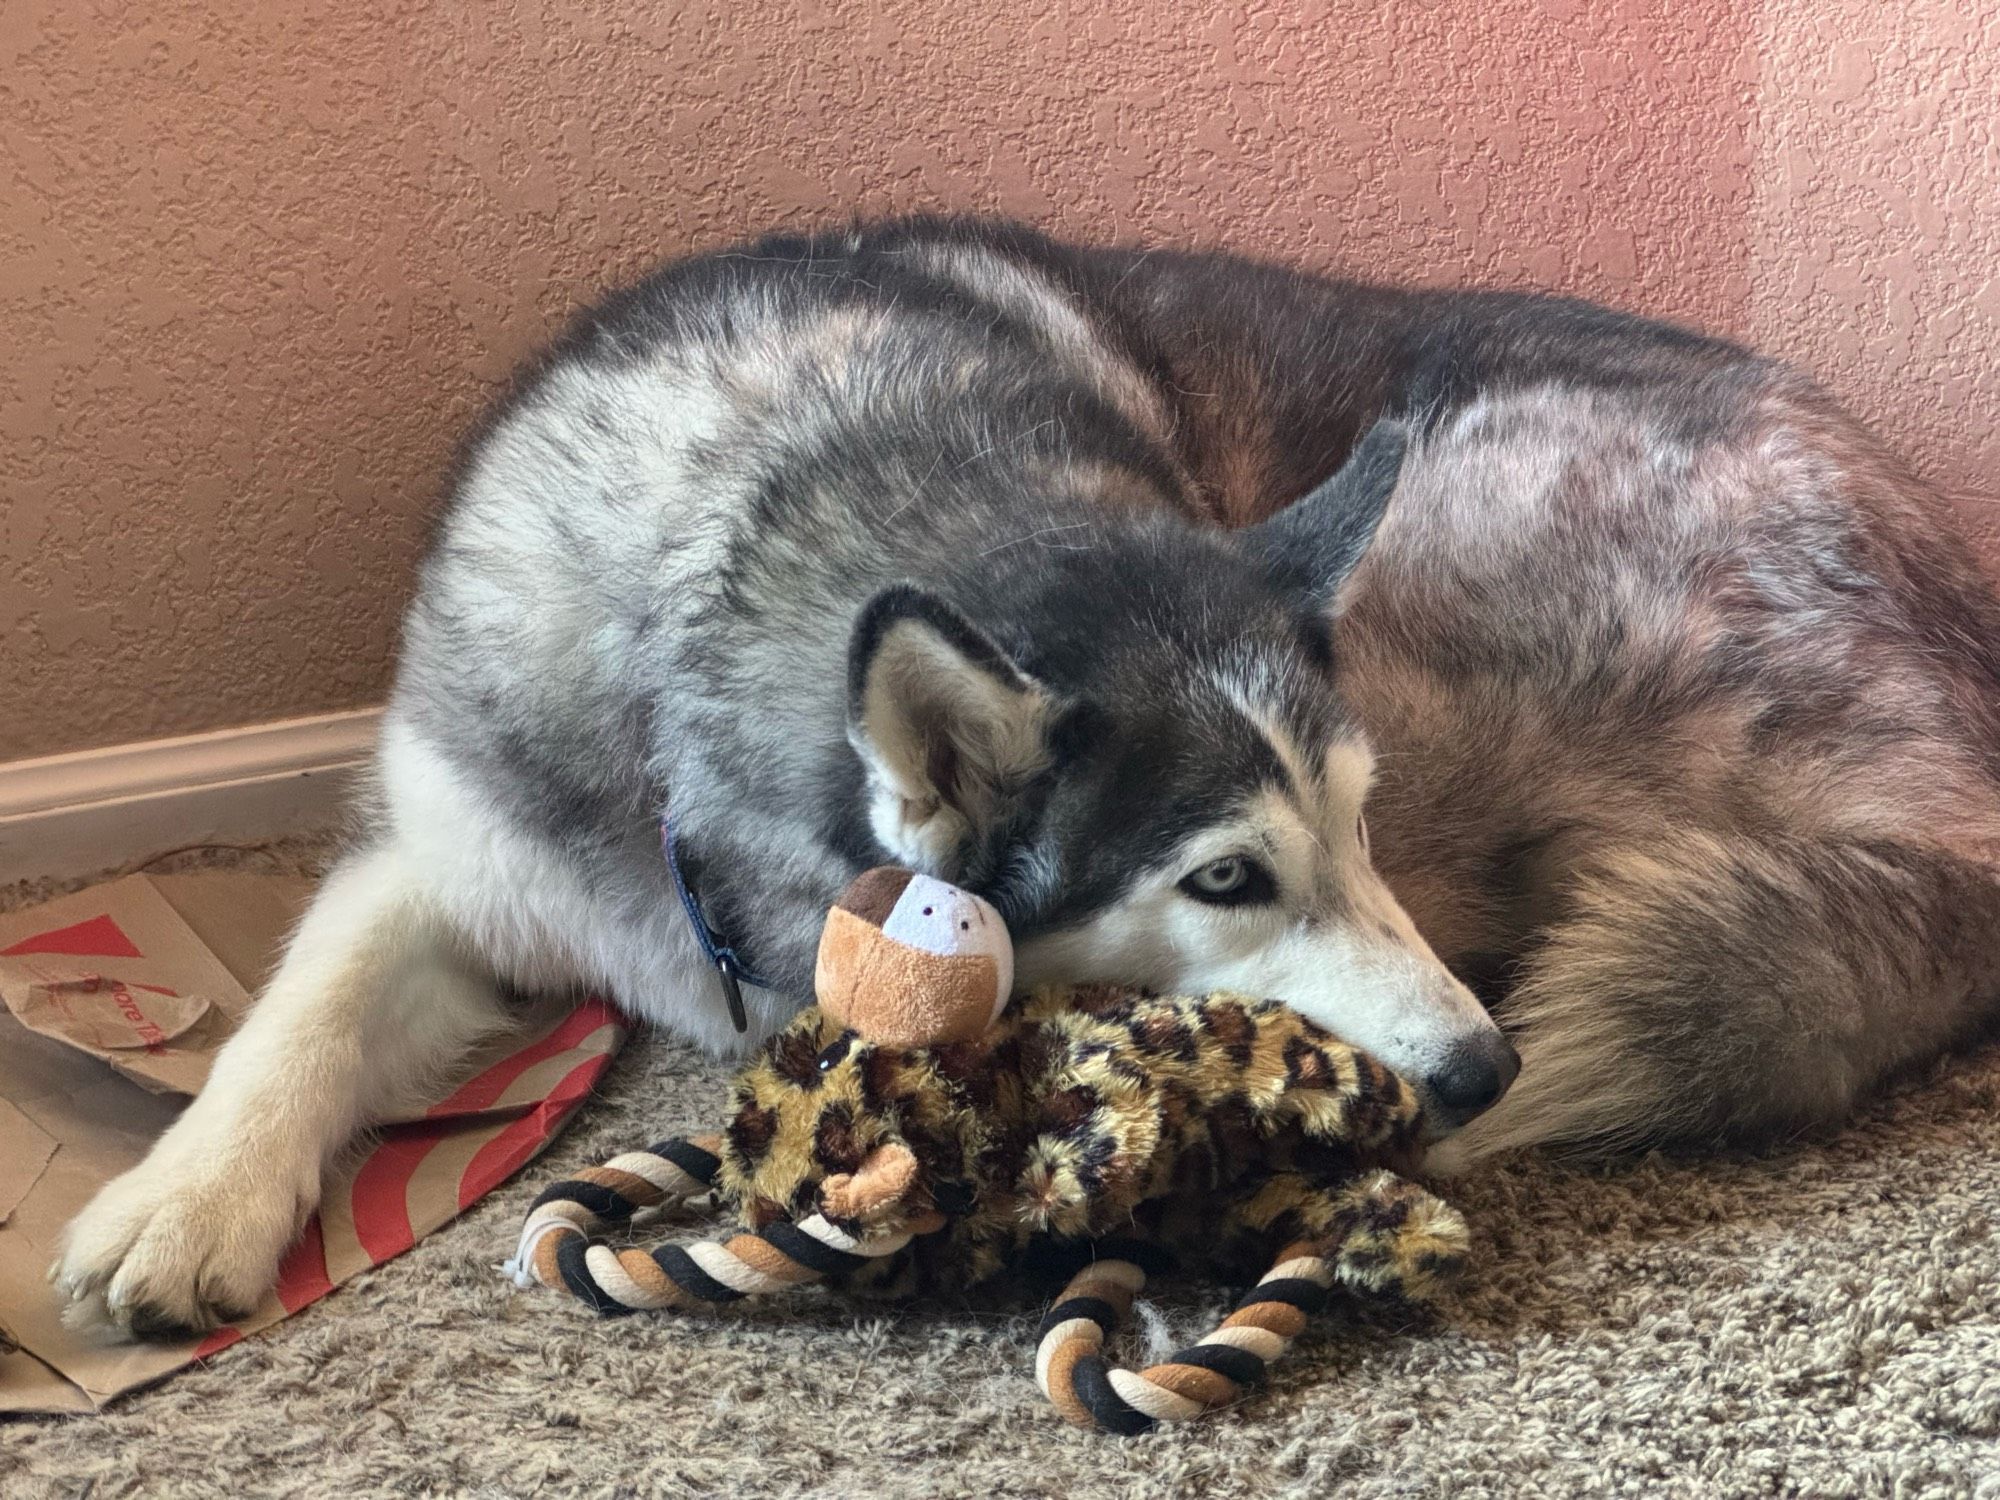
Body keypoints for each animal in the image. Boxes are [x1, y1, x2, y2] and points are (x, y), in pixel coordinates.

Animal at [54, 217, 2000, 1336]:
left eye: (1351, 828)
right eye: (1227, 879)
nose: (1482, 1069)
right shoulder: (453, 840)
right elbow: (303, 1005)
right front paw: (182, 1201)